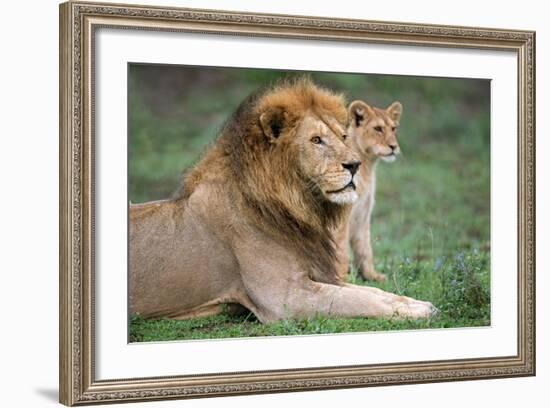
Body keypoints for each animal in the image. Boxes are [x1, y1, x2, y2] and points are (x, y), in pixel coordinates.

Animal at [129, 79, 436, 322]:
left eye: (343, 136)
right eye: (316, 140)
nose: (355, 165)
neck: (298, 207)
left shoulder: (319, 275)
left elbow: (372, 291)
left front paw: (415, 302)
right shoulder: (285, 297)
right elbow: (359, 300)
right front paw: (417, 311)